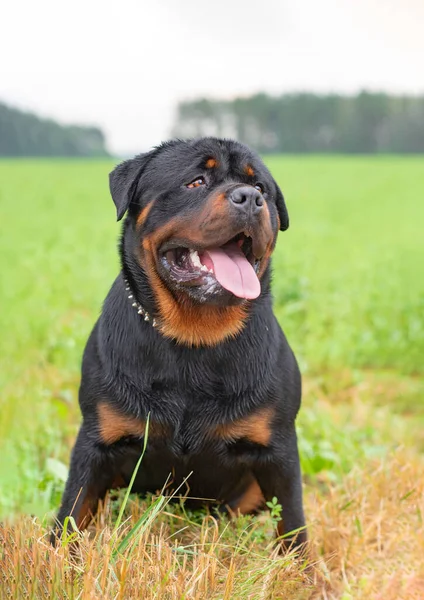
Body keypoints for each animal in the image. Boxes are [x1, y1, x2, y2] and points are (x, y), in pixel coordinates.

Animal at [52, 138, 304, 552]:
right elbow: (72, 511)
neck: (193, 335)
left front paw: (301, 568)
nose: (250, 198)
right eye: (195, 181)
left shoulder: (278, 449)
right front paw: (56, 559)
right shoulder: (95, 442)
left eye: (261, 188)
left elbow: (294, 525)